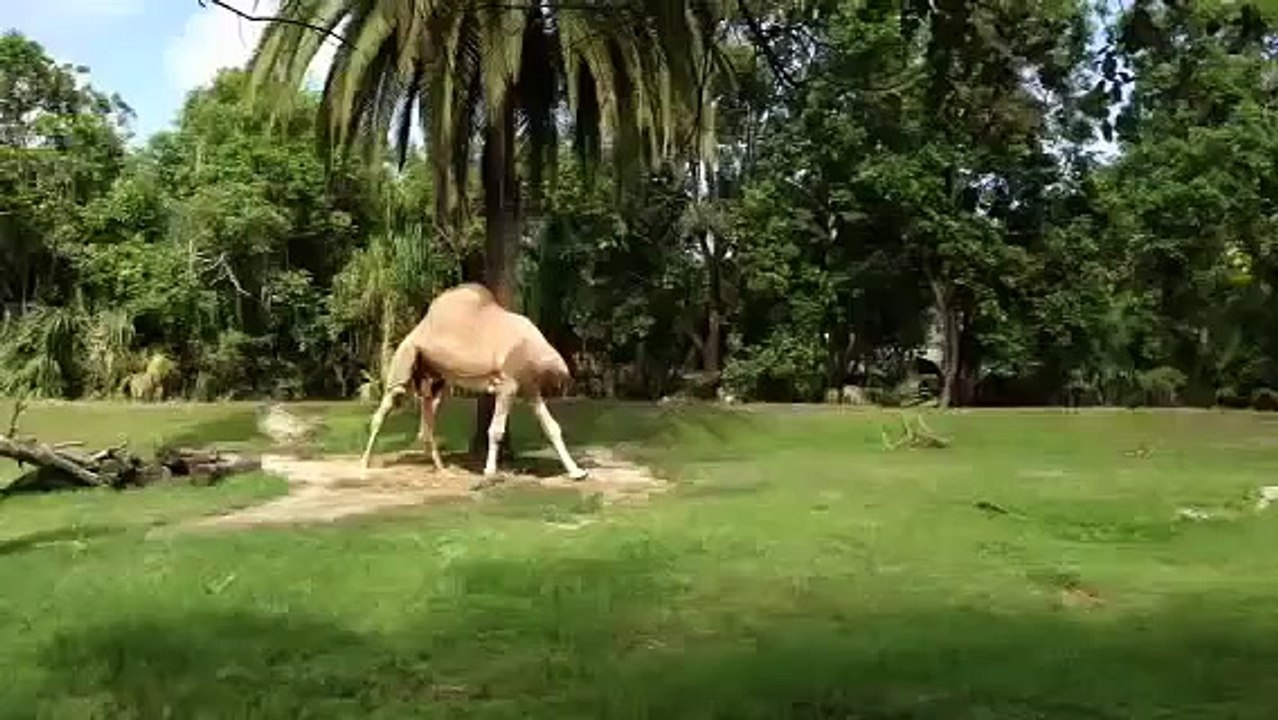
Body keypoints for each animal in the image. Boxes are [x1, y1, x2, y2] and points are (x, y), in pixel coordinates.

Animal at [360, 283, 589, 482]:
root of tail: (417, 328)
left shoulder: (529, 387)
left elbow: (552, 427)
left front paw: (577, 472)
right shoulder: (508, 384)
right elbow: (496, 430)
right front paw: (490, 471)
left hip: (435, 377)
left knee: (428, 417)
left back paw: (442, 468)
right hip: (405, 357)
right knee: (387, 405)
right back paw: (363, 466)